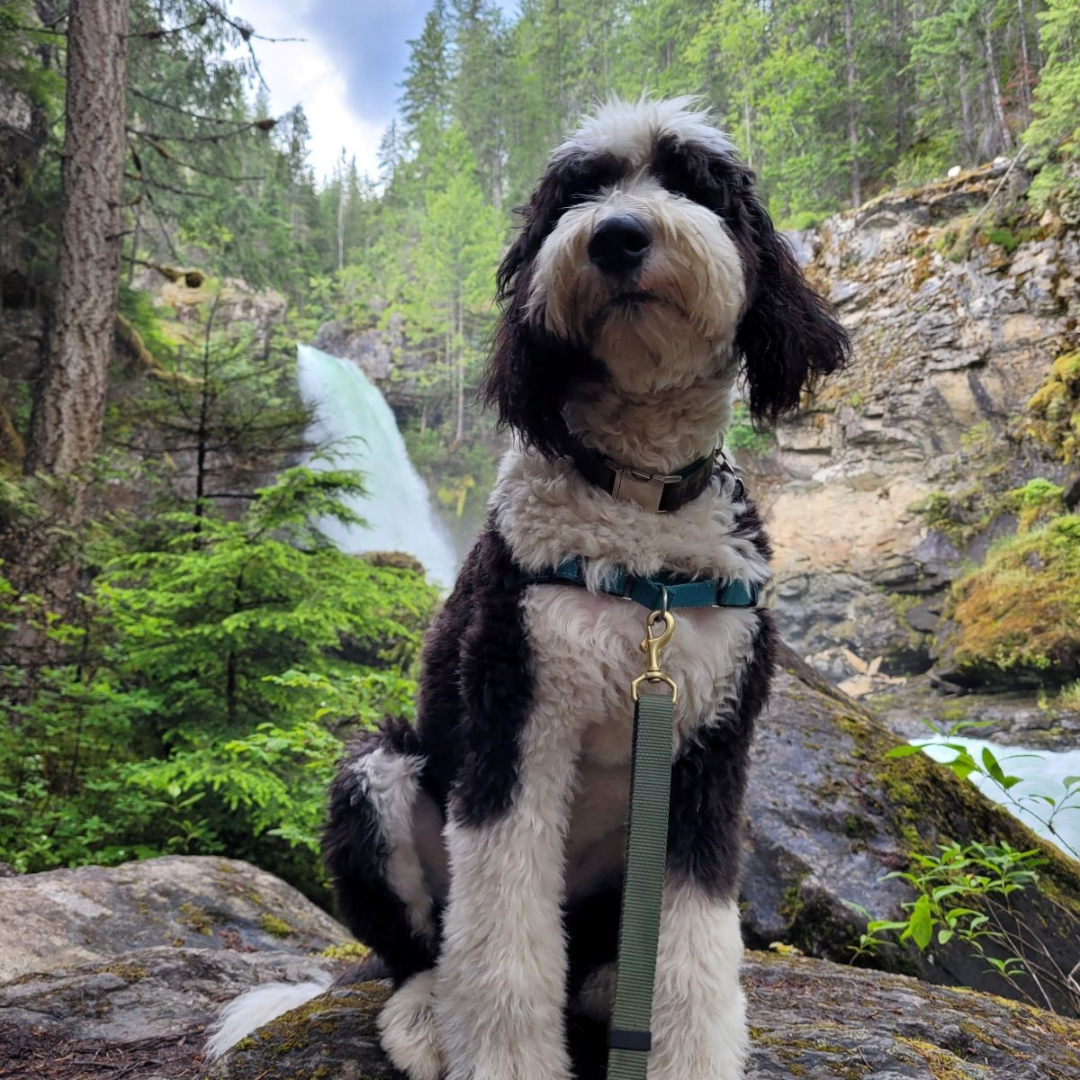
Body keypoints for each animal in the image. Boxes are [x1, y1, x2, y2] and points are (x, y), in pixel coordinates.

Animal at [210, 97, 846, 1075]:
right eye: (576, 193)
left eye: (692, 181)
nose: (617, 236)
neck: (637, 510)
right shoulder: (512, 721)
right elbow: (504, 945)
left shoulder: (709, 753)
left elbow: (696, 948)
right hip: (380, 774)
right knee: (422, 950)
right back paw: (425, 1013)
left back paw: (603, 989)